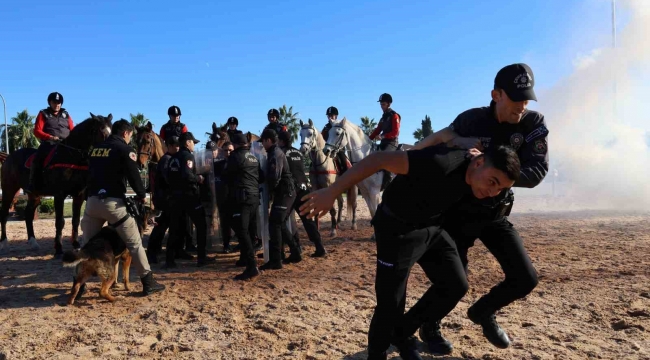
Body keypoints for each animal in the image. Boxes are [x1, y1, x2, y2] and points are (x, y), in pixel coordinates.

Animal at [0, 112, 112, 256]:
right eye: (102, 132)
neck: (71, 157)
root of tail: (9, 157)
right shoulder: (59, 195)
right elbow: (60, 221)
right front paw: (58, 248)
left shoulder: (79, 195)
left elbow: (76, 220)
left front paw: (76, 244)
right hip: (9, 190)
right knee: (4, 214)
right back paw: (4, 243)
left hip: (34, 195)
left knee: (28, 215)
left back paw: (33, 242)